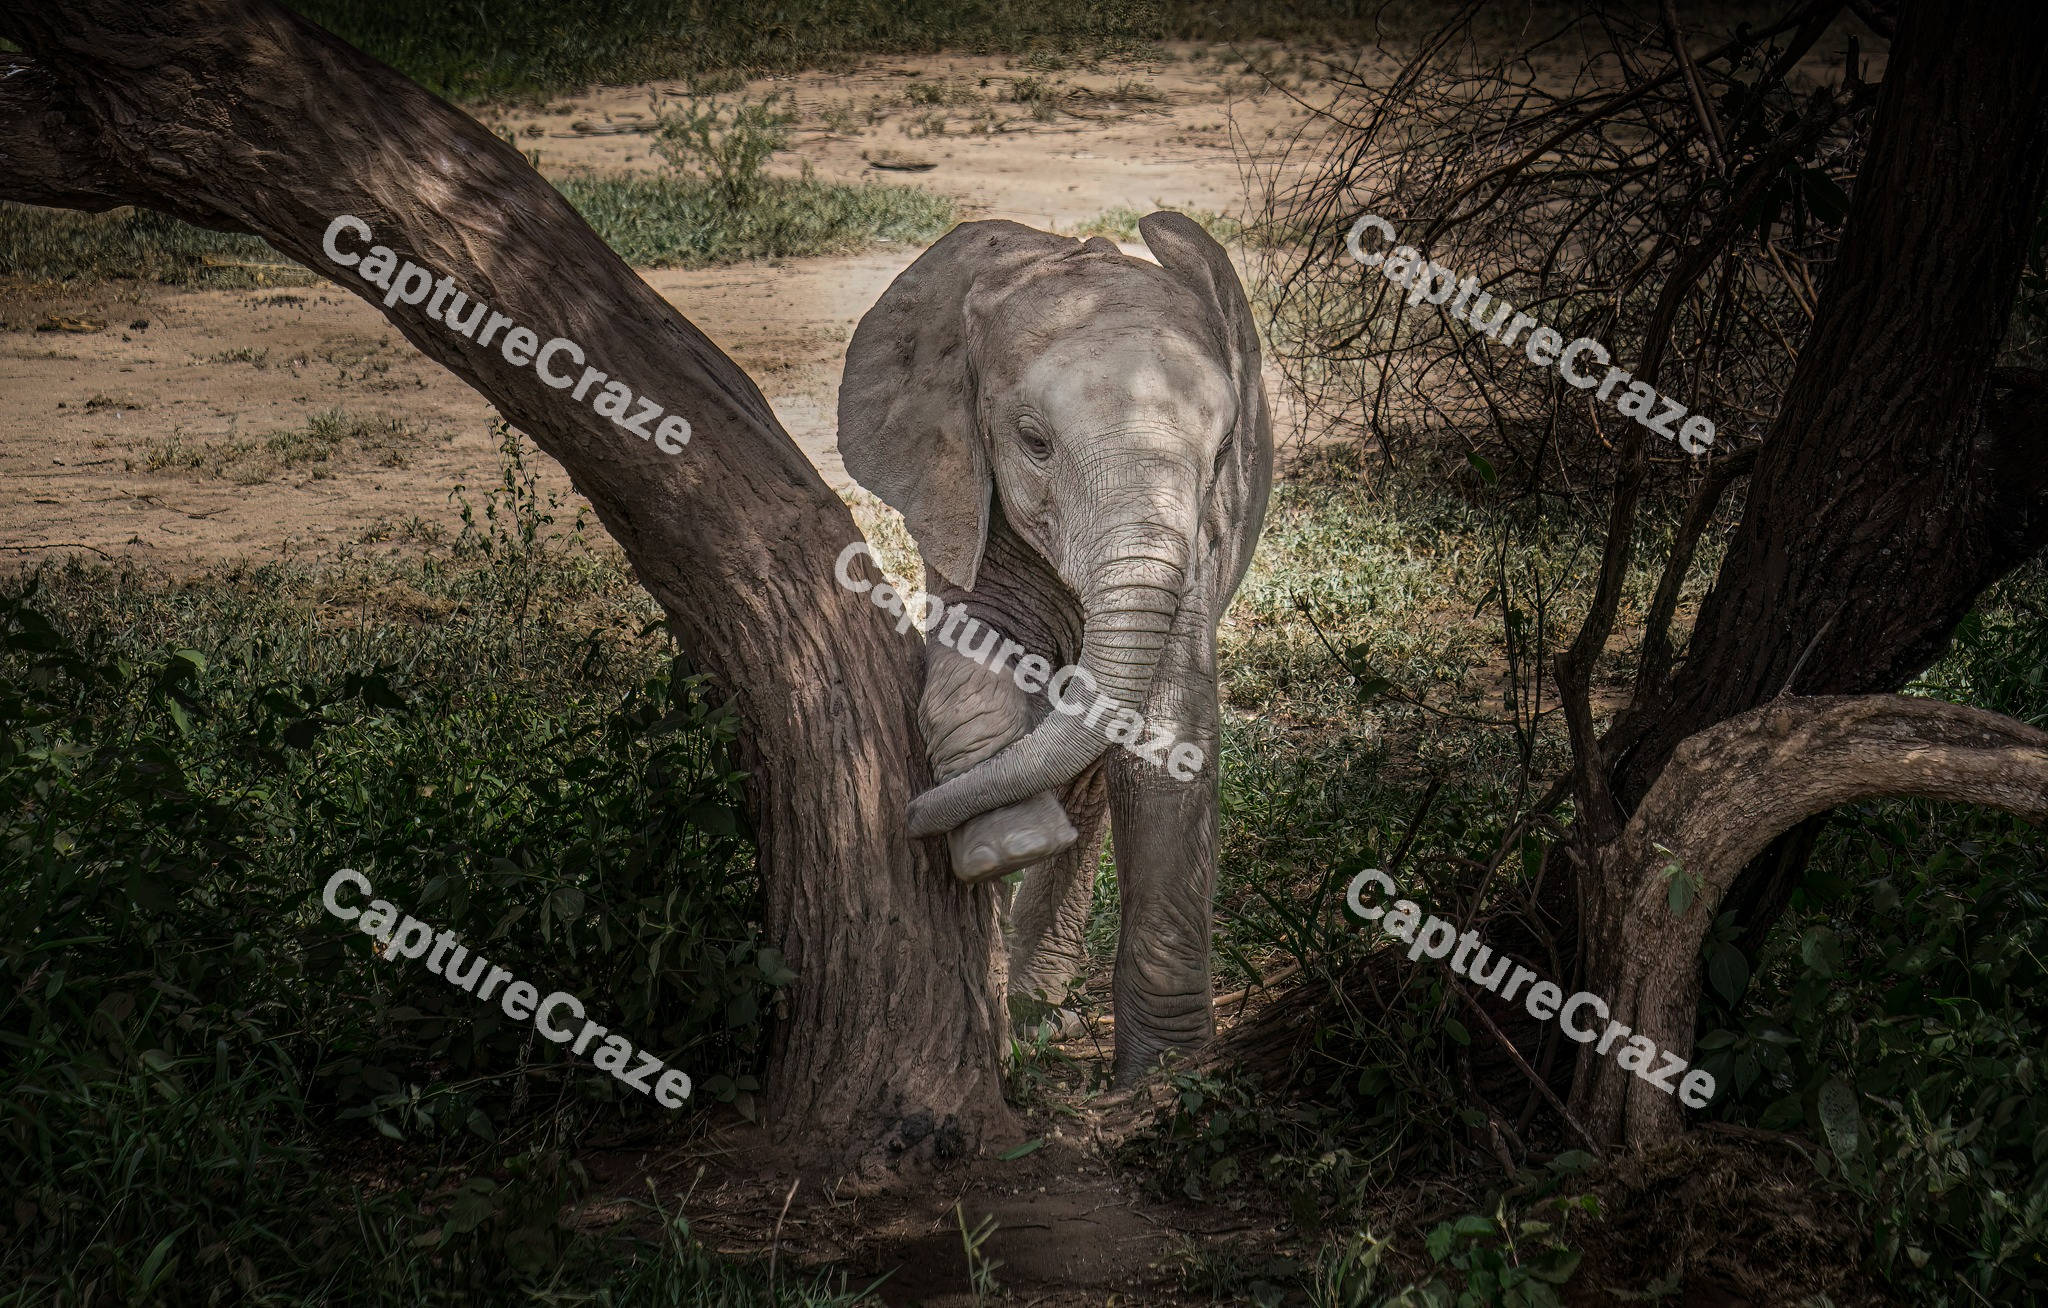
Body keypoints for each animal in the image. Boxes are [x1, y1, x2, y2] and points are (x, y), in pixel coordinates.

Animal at [836, 211, 1273, 1085]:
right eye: (1033, 442)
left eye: (1220, 457)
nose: (903, 816)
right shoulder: (960, 490)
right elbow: (972, 656)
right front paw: (1009, 844)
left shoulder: (1203, 541)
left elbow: (1165, 736)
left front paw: (1165, 1078)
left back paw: (1038, 1007)